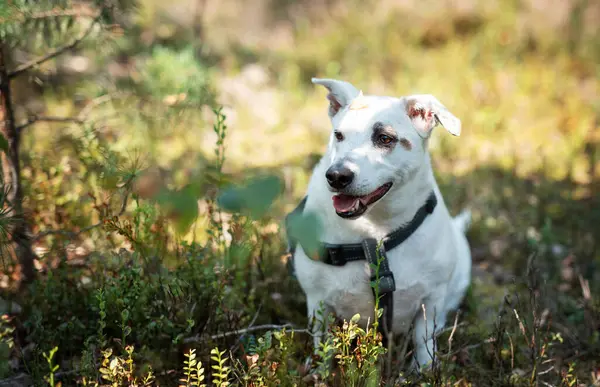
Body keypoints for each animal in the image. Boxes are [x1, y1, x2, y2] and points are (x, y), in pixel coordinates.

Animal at [288, 78, 472, 370]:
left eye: (385, 139)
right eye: (338, 135)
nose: (336, 176)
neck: (375, 236)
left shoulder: (429, 302)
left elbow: (424, 343)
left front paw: (424, 371)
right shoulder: (318, 303)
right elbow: (323, 347)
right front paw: (318, 372)